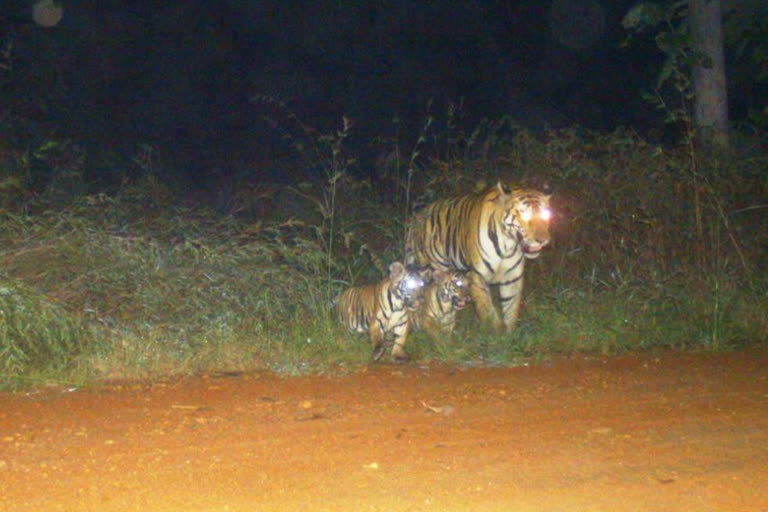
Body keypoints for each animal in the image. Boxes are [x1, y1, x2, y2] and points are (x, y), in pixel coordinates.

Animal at [404, 182, 548, 334]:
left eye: (546, 215)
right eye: (524, 214)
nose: (543, 240)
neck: (508, 245)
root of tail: (416, 217)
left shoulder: (512, 278)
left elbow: (511, 310)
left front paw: (510, 335)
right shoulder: (478, 277)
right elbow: (488, 312)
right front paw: (495, 335)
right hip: (433, 267)